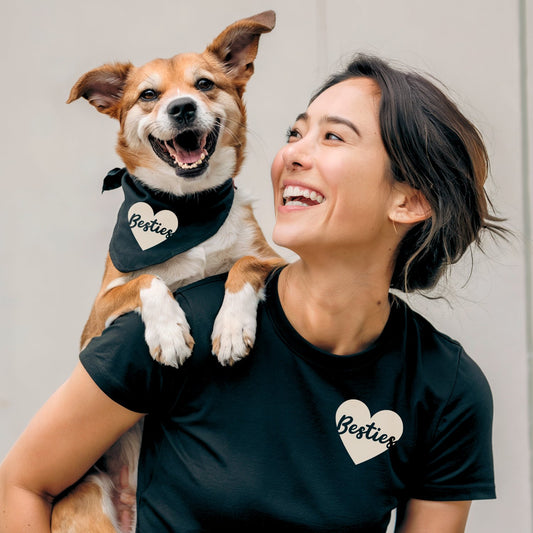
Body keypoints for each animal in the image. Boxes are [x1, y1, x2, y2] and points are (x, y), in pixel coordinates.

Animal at [52, 10, 284, 528]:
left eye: (205, 85)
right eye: (148, 95)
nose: (181, 108)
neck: (187, 207)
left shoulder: (275, 258)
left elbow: (242, 264)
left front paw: (231, 328)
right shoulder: (98, 313)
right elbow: (149, 277)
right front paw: (171, 333)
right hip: (90, 494)